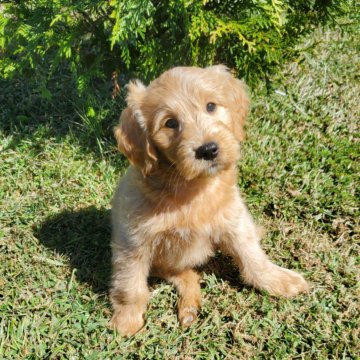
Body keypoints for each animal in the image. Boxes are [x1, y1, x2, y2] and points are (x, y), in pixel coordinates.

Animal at [110, 64, 310, 334]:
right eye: (170, 123)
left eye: (211, 106)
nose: (208, 150)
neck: (191, 190)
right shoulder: (132, 242)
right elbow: (130, 284)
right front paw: (126, 320)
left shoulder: (235, 221)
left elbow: (253, 256)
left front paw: (278, 280)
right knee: (183, 275)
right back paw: (188, 308)